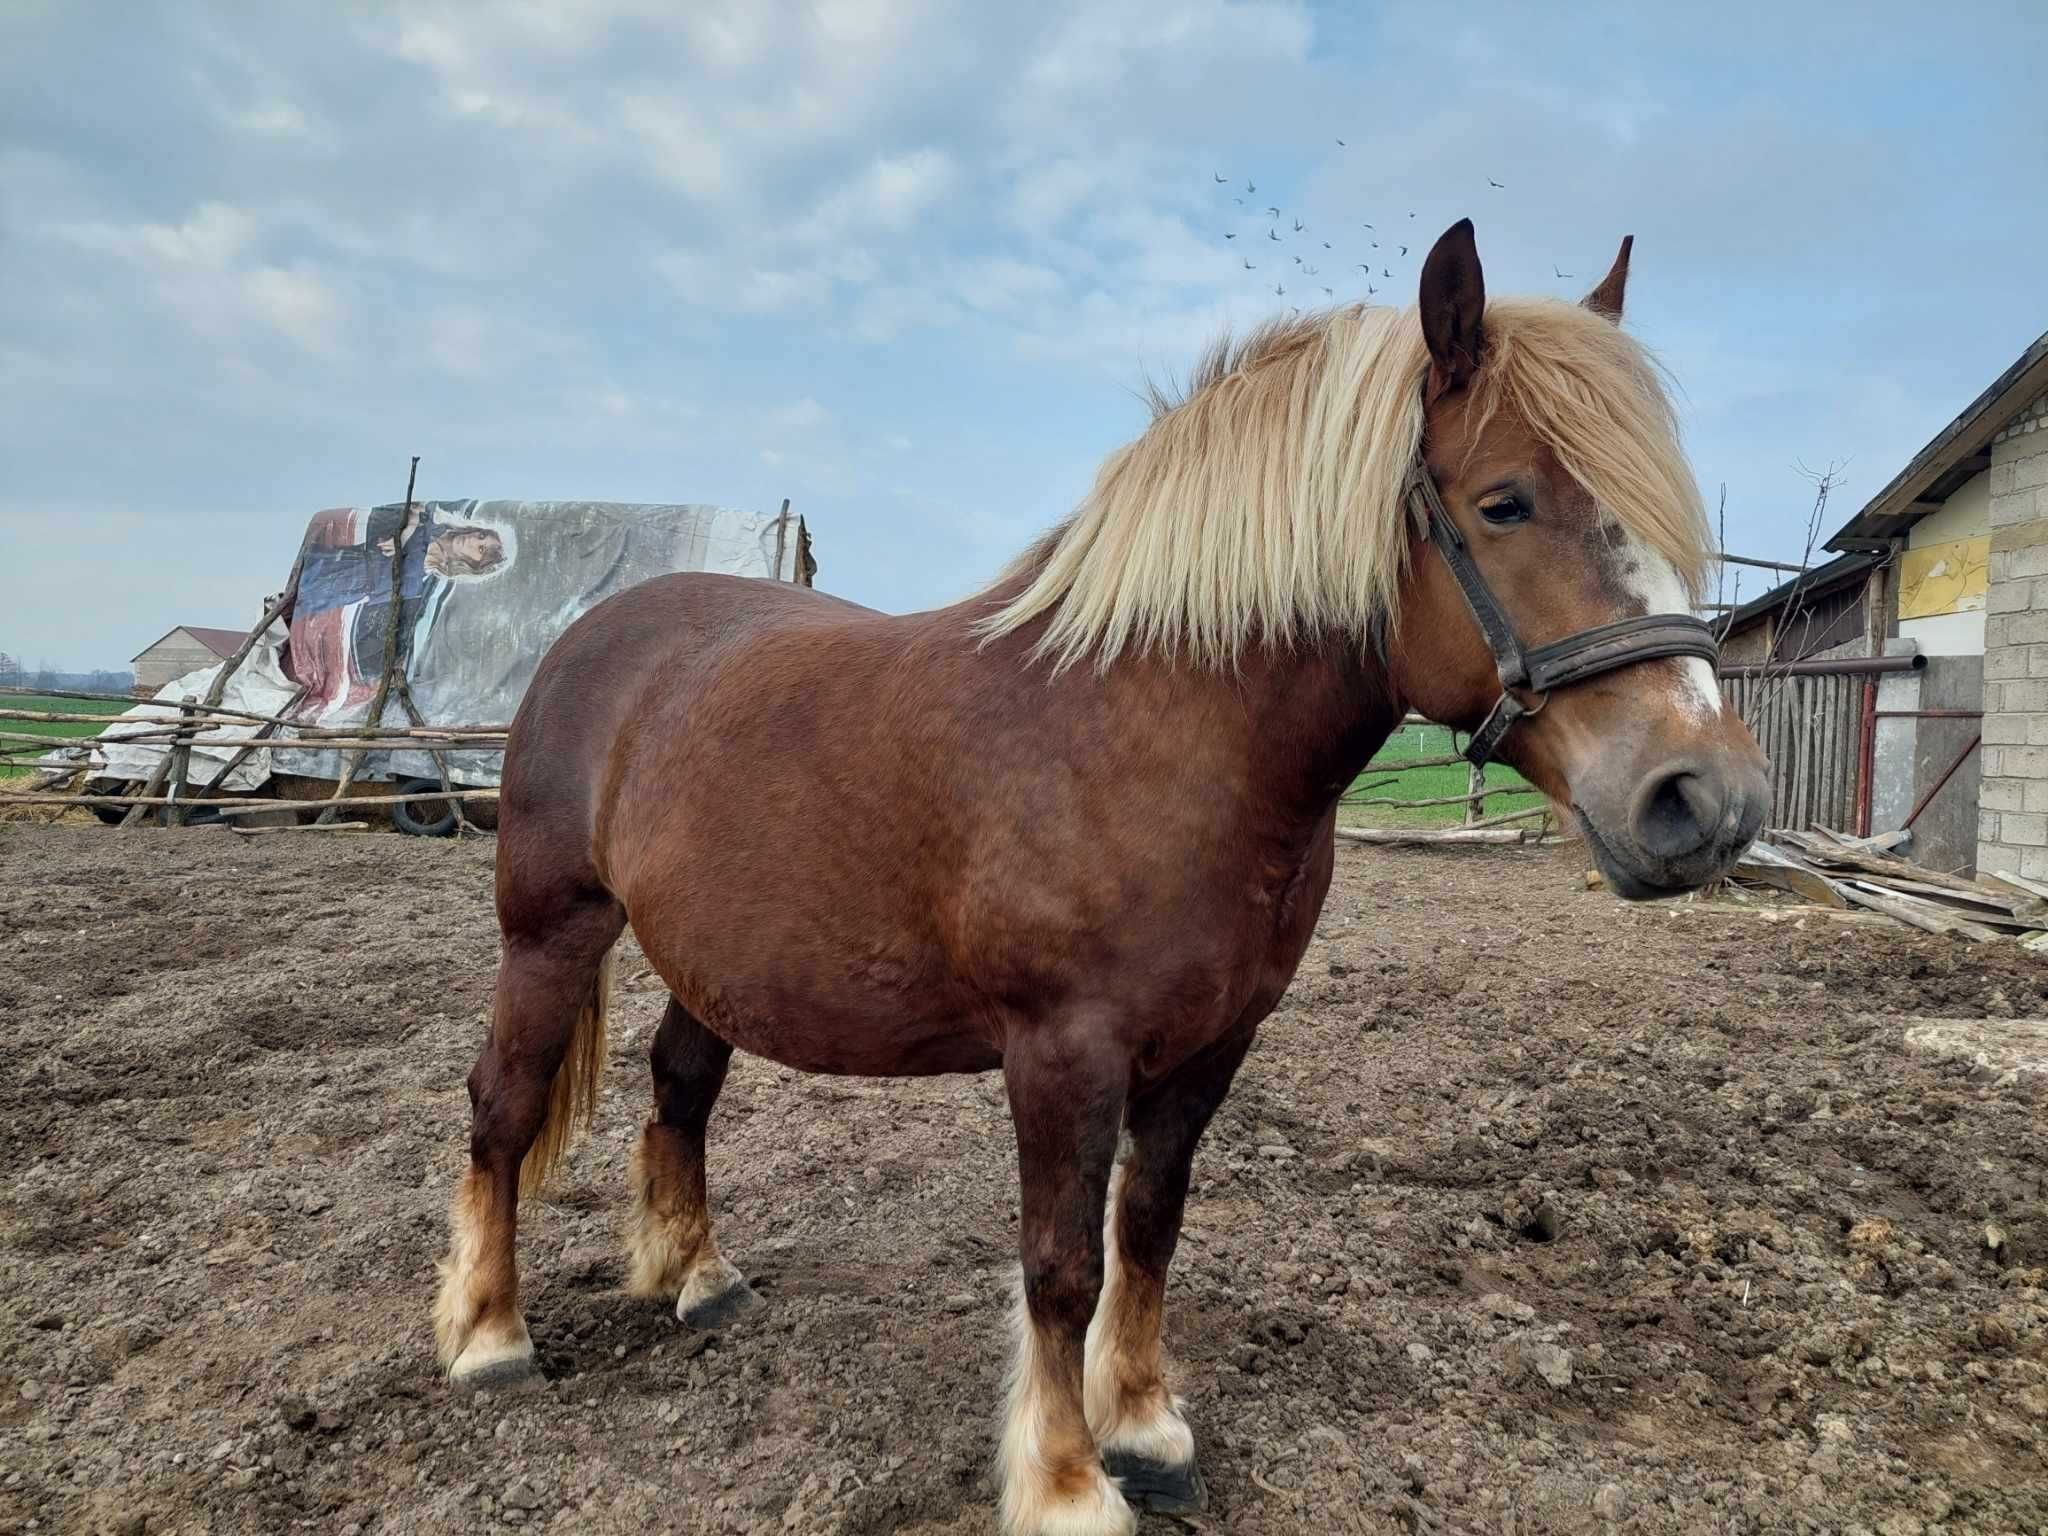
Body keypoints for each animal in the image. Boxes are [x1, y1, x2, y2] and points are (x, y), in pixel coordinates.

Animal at [436, 219, 1777, 1536]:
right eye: (1502, 503)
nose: (1701, 801)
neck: (1151, 731)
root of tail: (597, 634)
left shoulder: (1210, 1042)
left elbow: (1146, 1228)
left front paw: (1143, 1429)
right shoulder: (1060, 1051)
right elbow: (1060, 1262)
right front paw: (1069, 1483)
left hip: (706, 958)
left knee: (681, 1087)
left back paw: (699, 1279)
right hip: (550, 931)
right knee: (503, 1104)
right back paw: (489, 1336)